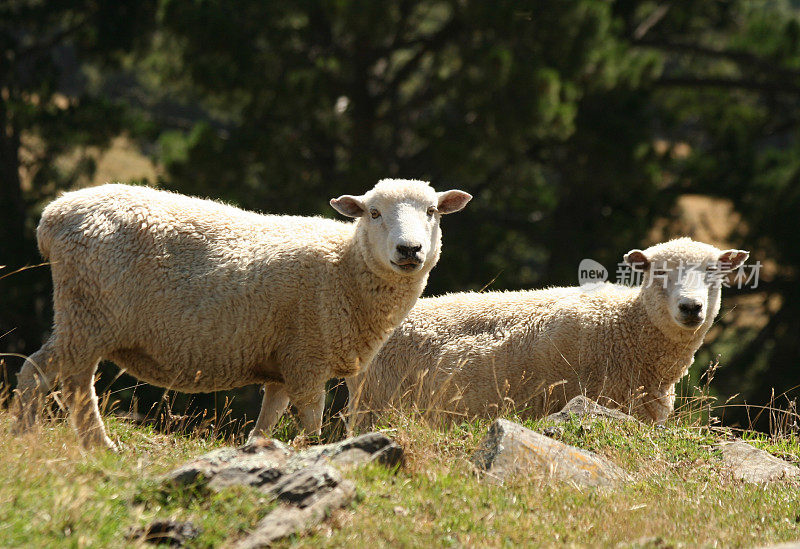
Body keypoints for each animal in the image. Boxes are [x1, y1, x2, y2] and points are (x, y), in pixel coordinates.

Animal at [15, 178, 472, 448]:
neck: (345, 266)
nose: (409, 250)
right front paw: (312, 454)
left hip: (84, 317)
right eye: (373, 213)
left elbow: (265, 424)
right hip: (88, 313)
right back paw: (43, 435)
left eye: (432, 211)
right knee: (47, 375)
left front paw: (259, 451)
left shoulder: (284, 364)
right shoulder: (307, 358)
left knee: (62, 379)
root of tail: (53, 217)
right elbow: (312, 424)